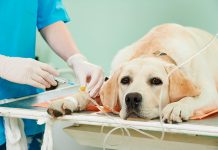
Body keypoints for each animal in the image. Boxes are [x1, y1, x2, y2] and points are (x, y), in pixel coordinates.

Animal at [47, 23, 218, 123]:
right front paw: (68, 100)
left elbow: (192, 97)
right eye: (125, 80)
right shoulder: (104, 88)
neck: (155, 50)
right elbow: (87, 94)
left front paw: (177, 106)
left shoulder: (211, 93)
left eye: (156, 81)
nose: (132, 98)